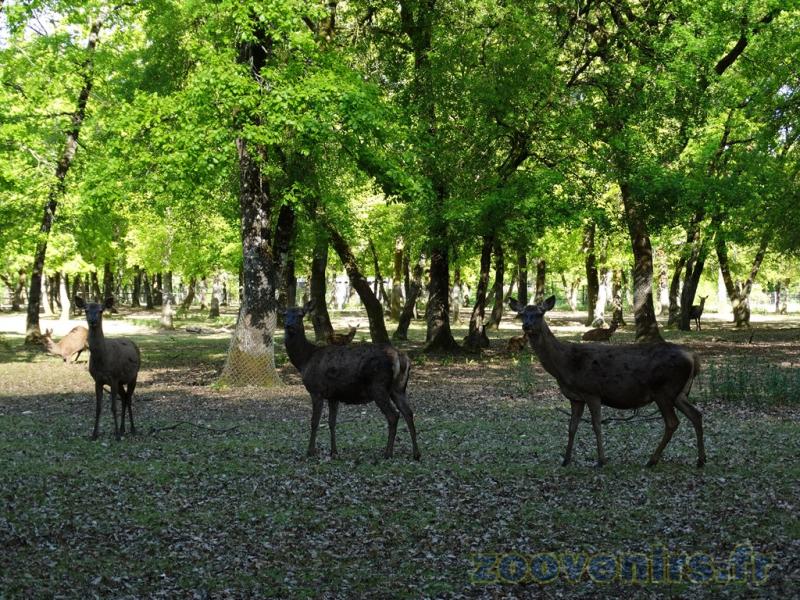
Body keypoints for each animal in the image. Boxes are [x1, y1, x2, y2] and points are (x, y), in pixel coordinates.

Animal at [74, 297, 141, 440]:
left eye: (101, 310)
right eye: (86, 310)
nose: (93, 320)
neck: (102, 360)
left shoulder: (114, 377)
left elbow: (113, 407)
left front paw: (116, 436)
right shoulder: (98, 380)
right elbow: (98, 408)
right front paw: (94, 434)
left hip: (133, 376)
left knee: (129, 398)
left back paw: (132, 429)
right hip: (121, 382)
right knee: (124, 398)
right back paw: (122, 429)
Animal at [283, 302, 420, 460]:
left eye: (300, 315)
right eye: (284, 314)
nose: (288, 325)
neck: (304, 361)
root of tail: (401, 357)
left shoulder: (316, 389)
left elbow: (314, 422)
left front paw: (310, 451)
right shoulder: (333, 395)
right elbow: (332, 422)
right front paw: (334, 452)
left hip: (378, 386)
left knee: (393, 415)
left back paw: (388, 453)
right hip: (398, 388)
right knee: (408, 412)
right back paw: (416, 453)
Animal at [509, 296, 705, 468]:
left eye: (540, 313)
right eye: (522, 313)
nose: (526, 326)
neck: (565, 365)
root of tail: (693, 358)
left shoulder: (592, 392)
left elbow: (596, 426)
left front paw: (601, 461)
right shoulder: (575, 397)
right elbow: (572, 427)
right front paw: (566, 460)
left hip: (664, 389)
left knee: (672, 422)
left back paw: (652, 460)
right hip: (678, 392)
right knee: (696, 414)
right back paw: (700, 460)